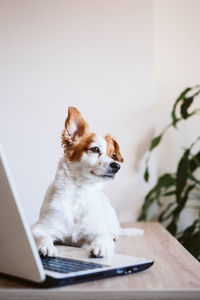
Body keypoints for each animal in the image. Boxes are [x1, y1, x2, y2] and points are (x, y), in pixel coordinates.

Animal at [32, 106, 143, 258]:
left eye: (113, 155)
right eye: (95, 149)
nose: (117, 166)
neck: (80, 189)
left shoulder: (98, 231)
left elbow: (103, 237)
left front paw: (100, 247)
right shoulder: (39, 227)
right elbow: (42, 236)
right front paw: (46, 246)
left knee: (114, 231)